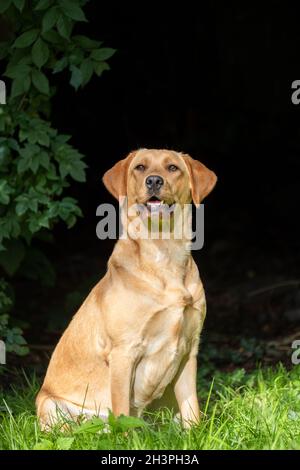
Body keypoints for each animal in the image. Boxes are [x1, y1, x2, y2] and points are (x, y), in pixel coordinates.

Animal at [36, 149, 217, 428]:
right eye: (140, 167)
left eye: (172, 168)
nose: (153, 181)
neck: (164, 253)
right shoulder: (123, 352)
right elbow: (122, 411)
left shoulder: (189, 348)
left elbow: (192, 408)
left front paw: (194, 433)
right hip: (49, 404)